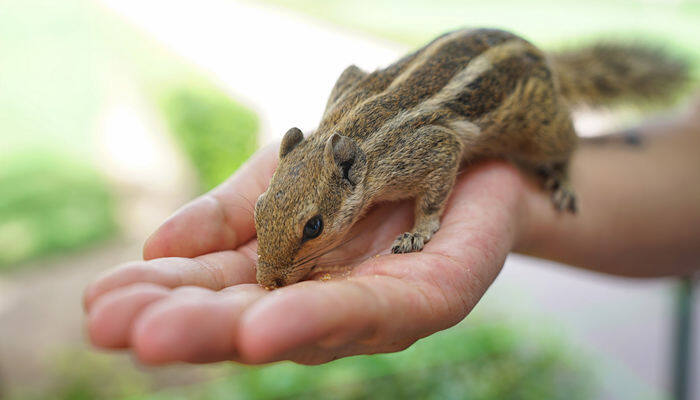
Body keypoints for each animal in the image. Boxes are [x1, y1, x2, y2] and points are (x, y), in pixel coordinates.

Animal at [253, 28, 688, 290]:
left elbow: (433, 193)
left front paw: (417, 232)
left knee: (570, 142)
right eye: (258, 206)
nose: (266, 282)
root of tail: (545, 57)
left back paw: (562, 179)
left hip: (542, 124)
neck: (356, 129)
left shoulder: (430, 148)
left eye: (314, 227)